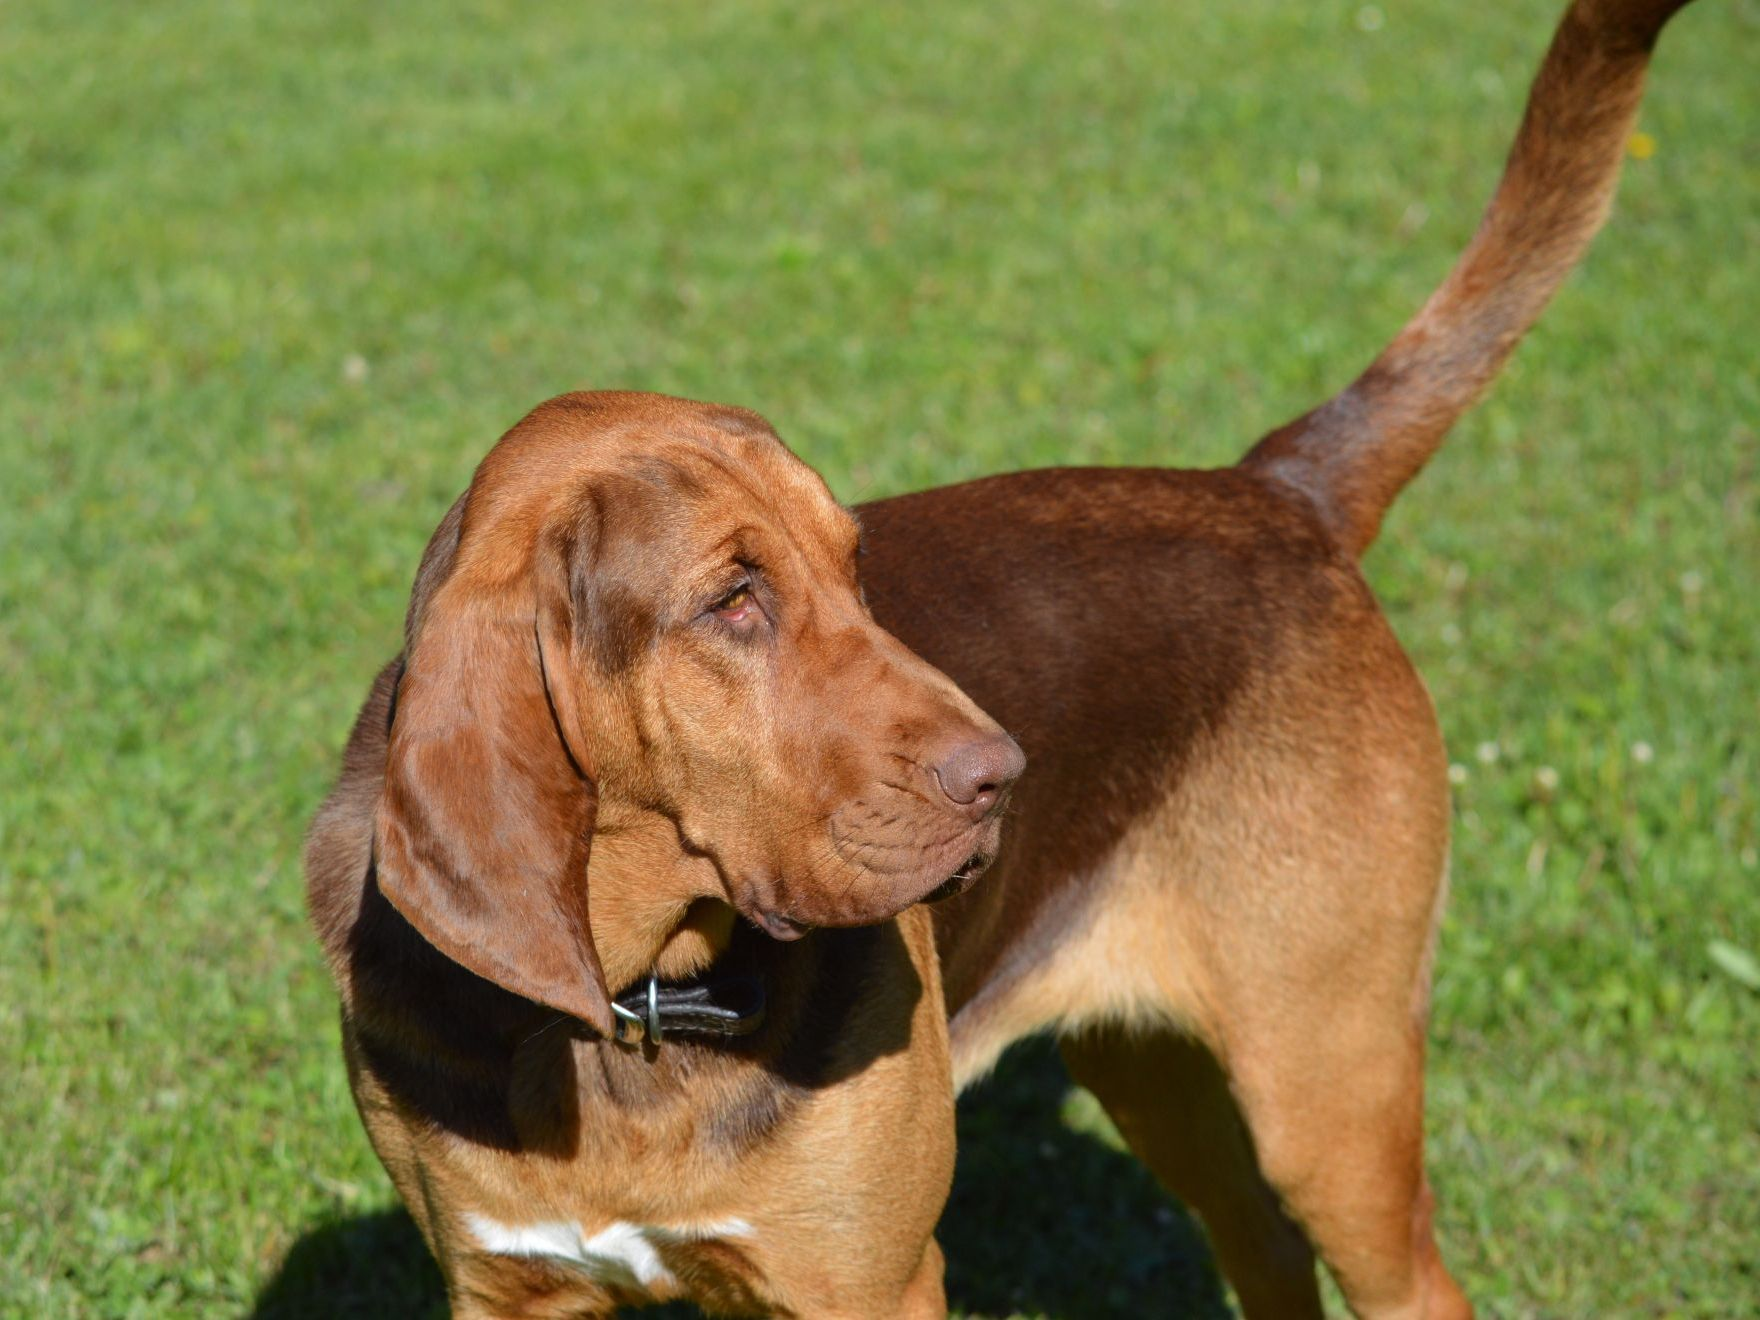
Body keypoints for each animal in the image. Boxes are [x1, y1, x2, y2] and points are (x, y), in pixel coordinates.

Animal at [309, 5, 1696, 1316]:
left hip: (1325, 1091)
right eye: (733, 601)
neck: (637, 1004)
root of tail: (1274, 491)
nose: (1002, 778)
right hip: (1154, 1074)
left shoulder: (869, 1284)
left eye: (853, 564)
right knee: (1259, 1255)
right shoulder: (507, 1287)